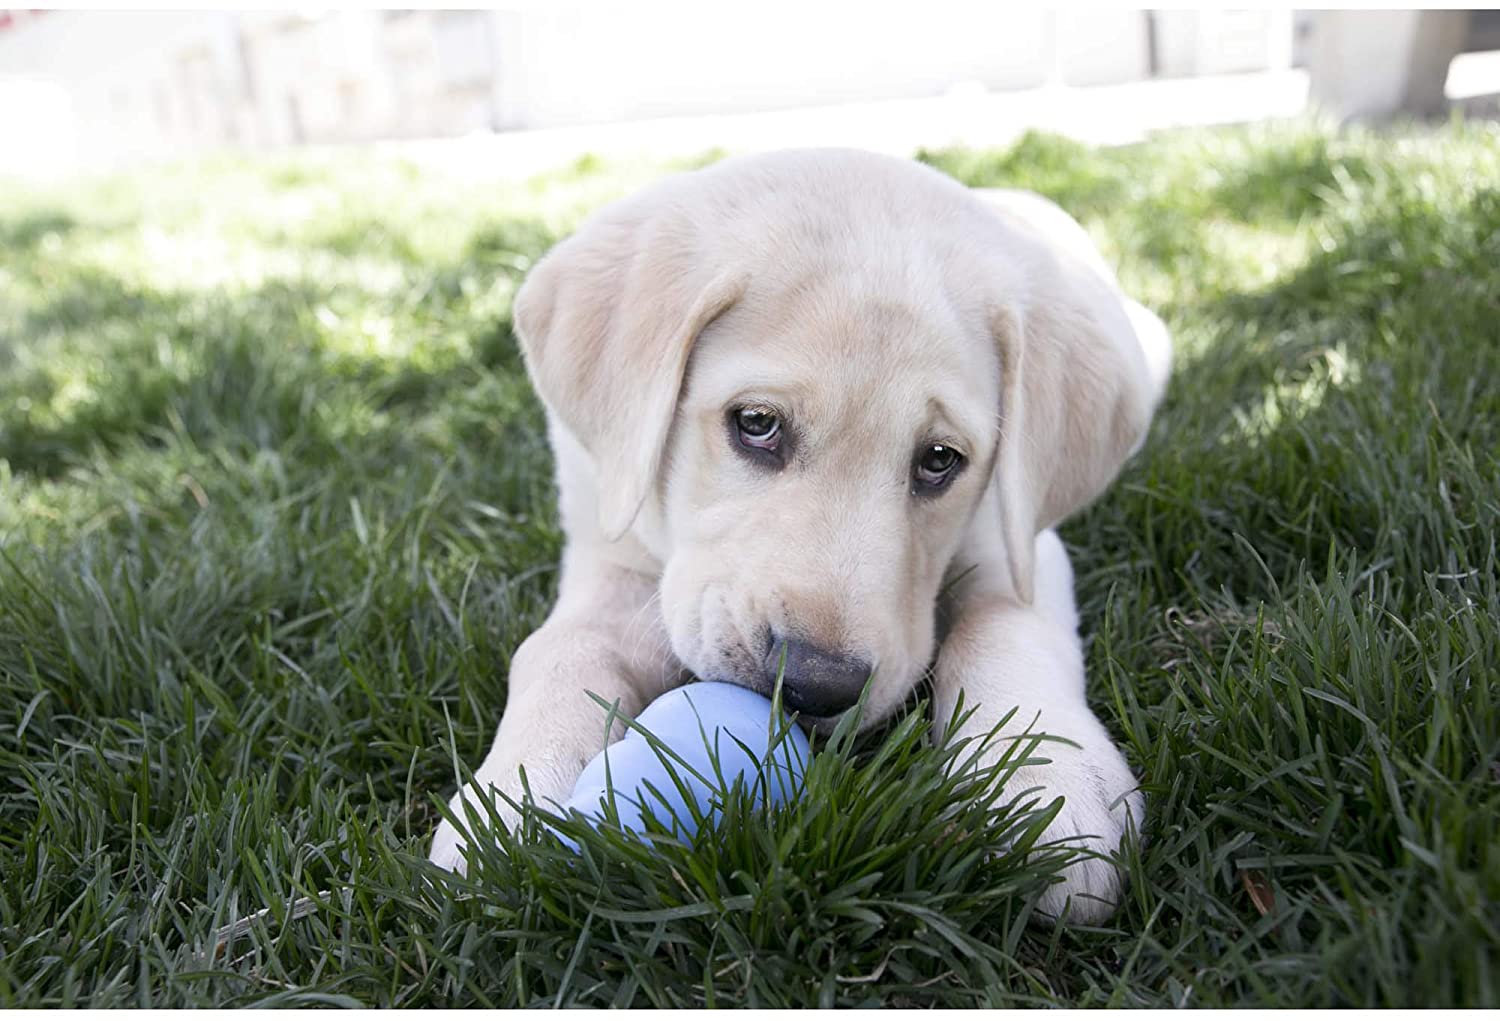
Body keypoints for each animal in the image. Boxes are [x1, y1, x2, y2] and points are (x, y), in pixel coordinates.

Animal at [429, 149, 1176, 923]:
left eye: (940, 459)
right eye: (756, 423)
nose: (818, 685)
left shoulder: (1017, 541)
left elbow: (1006, 625)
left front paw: (1045, 784)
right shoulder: (607, 539)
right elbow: (560, 646)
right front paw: (515, 798)